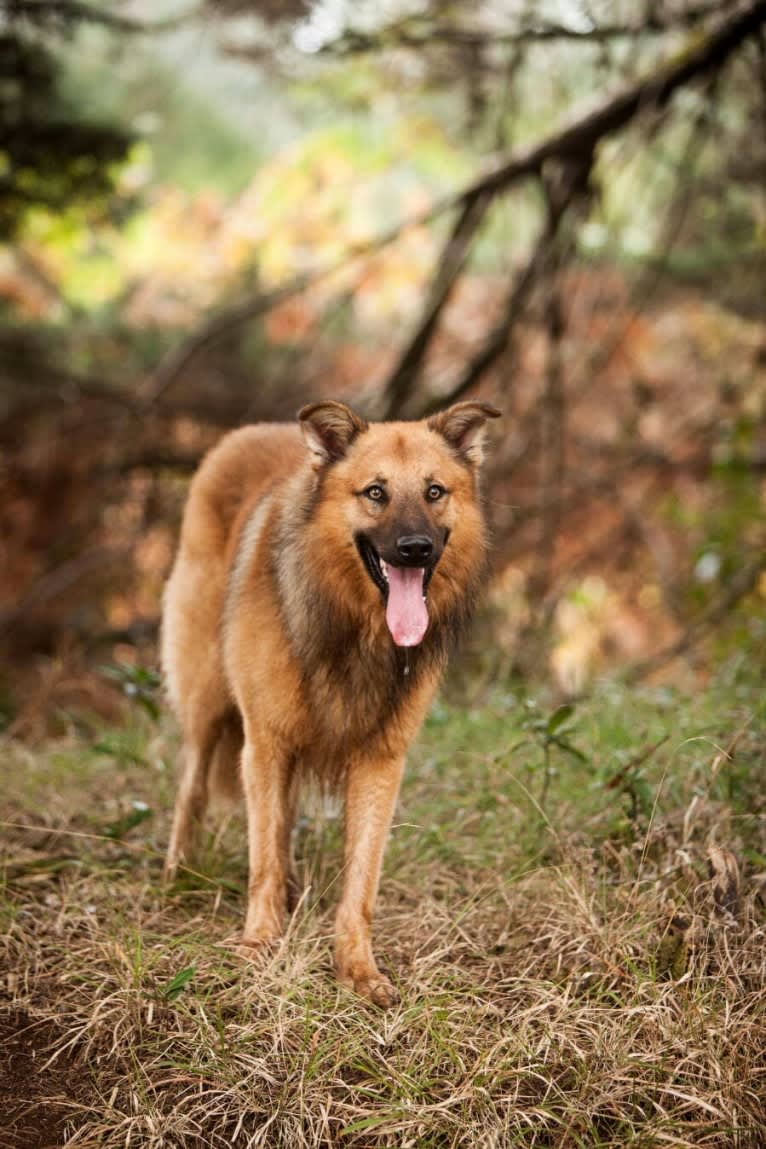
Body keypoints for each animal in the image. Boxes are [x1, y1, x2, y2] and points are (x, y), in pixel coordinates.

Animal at [163, 397, 498, 1006]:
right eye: (375, 492)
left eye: (435, 491)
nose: (416, 549)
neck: (354, 629)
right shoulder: (265, 741)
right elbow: (262, 861)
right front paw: (258, 946)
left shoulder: (380, 761)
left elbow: (359, 879)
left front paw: (357, 969)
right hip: (208, 697)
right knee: (194, 785)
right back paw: (179, 872)